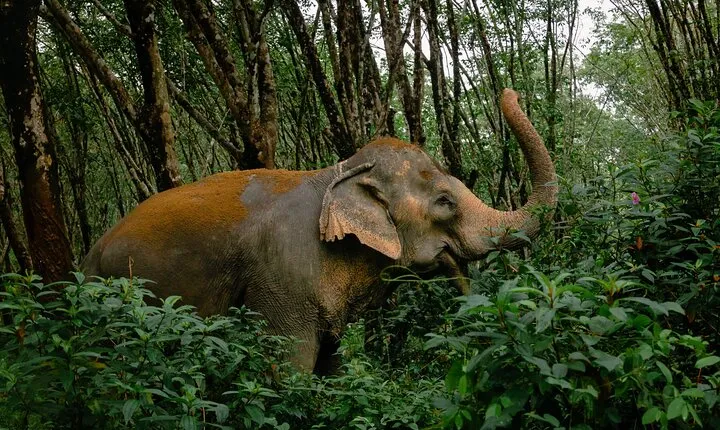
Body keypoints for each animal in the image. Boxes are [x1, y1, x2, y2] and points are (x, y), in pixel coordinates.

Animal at [82, 89, 557, 372]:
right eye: (444, 202)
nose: (508, 92)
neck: (337, 172)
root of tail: (90, 253)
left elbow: (334, 360)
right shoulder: (282, 279)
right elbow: (289, 370)